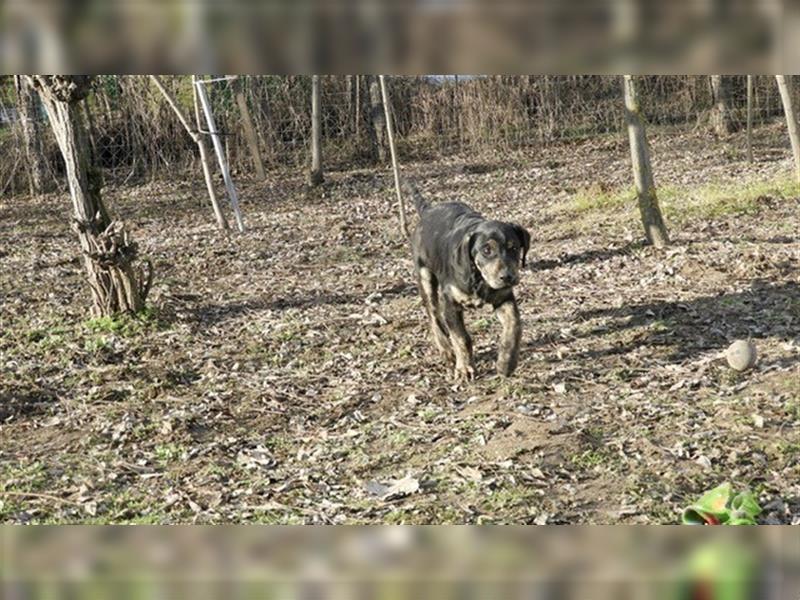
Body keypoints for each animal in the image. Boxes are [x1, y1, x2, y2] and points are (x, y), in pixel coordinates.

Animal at [406, 180, 532, 382]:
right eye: (486, 250)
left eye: (514, 248)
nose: (507, 277)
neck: (478, 278)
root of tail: (428, 210)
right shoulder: (450, 303)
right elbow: (461, 338)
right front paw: (465, 368)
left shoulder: (504, 297)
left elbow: (515, 325)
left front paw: (506, 363)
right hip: (424, 276)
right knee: (433, 316)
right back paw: (446, 350)